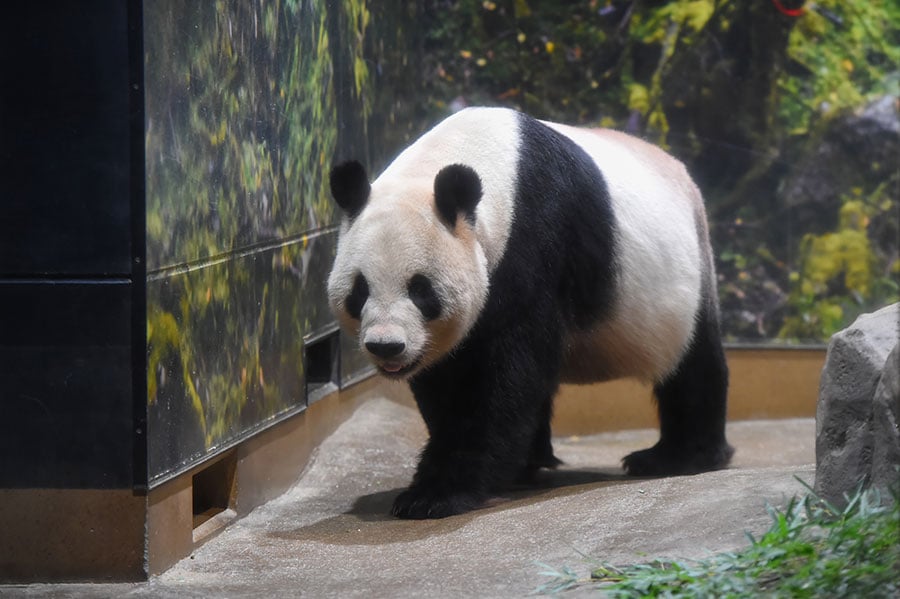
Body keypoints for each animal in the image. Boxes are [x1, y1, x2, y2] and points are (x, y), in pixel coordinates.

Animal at [326, 108, 736, 520]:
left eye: (421, 290)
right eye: (360, 291)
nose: (386, 346)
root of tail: (682, 172)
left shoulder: (535, 237)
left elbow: (507, 370)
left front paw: (434, 494)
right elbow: (449, 375)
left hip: (682, 282)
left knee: (693, 364)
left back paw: (677, 457)